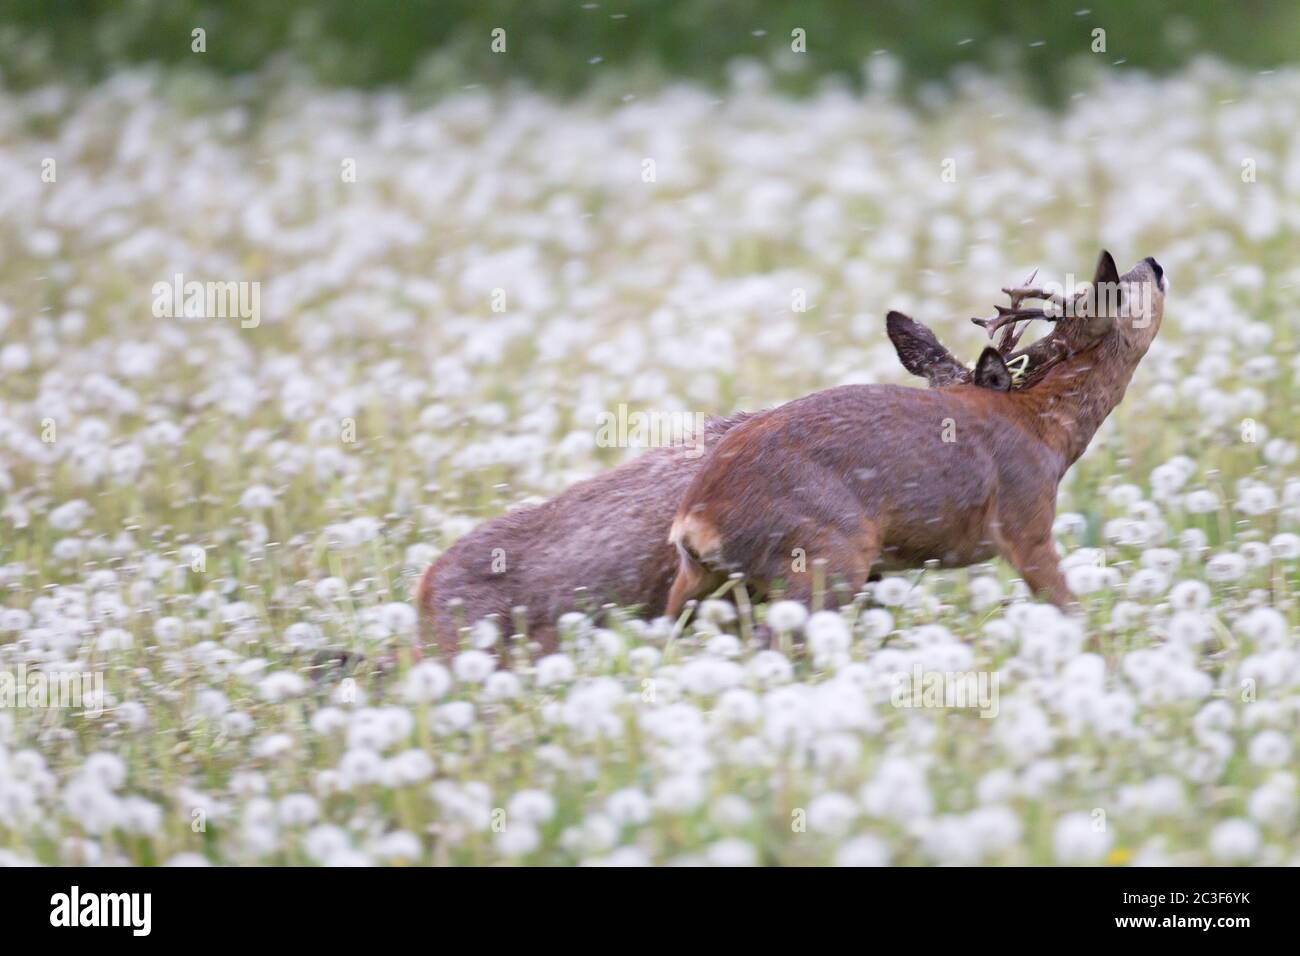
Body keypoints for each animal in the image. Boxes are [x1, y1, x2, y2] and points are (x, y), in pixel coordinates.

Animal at [670, 251, 1170, 616]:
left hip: (701, 579)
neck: (1044, 426)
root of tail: (695, 520)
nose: (1154, 264)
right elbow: (1074, 611)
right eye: (1120, 291)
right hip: (824, 556)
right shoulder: (1024, 521)